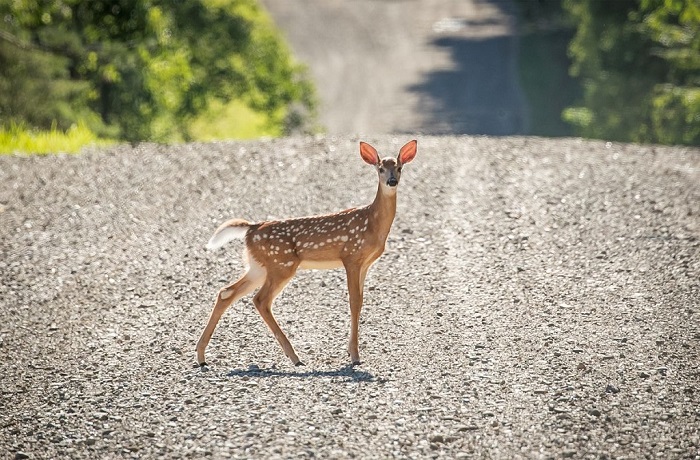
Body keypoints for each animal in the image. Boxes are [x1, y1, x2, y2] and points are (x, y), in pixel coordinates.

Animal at [197, 139, 416, 366]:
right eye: (380, 168)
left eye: (399, 168)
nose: (392, 181)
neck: (372, 223)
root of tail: (251, 228)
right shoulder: (351, 256)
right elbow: (354, 302)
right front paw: (355, 356)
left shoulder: (365, 263)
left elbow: (361, 301)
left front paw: (351, 351)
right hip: (281, 265)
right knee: (260, 300)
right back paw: (294, 357)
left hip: (258, 266)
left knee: (226, 292)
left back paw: (201, 356)